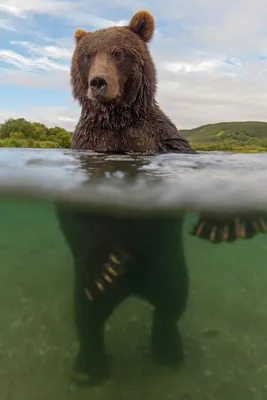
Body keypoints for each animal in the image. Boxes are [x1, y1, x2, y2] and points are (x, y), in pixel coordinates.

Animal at [71, 8, 197, 155]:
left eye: (118, 53)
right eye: (87, 55)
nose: (98, 81)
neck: (116, 119)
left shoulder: (159, 138)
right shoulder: (89, 139)